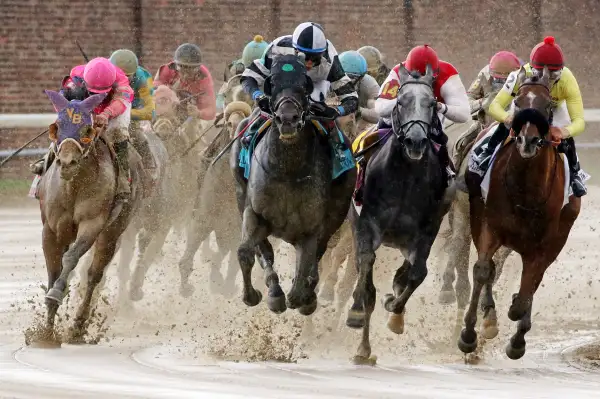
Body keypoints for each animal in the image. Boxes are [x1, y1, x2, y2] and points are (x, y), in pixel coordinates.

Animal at [37, 91, 144, 344]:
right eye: (57, 127)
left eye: (87, 129)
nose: (67, 162)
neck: (73, 186)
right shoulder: (51, 229)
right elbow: (53, 268)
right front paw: (46, 330)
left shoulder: (92, 223)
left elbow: (71, 259)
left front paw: (56, 294)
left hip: (114, 230)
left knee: (95, 274)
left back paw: (78, 325)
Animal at [227, 55, 354, 316]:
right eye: (272, 83)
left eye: (304, 87)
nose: (288, 119)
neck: (288, 170)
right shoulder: (254, 214)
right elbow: (245, 252)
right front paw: (255, 295)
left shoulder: (311, 229)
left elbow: (307, 268)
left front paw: (303, 295)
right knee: (263, 251)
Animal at [346, 65, 454, 366]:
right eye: (401, 102)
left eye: (432, 104)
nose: (416, 140)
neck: (406, 179)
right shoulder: (367, 224)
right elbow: (367, 273)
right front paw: (358, 320)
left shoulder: (427, 229)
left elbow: (418, 273)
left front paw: (394, 309)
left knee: (408, 271)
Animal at [460, 67, 580, 360]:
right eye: (518, 101)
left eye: (548, 106)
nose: (527, 140)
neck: (526, 190)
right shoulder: (489, 225)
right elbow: (483, 270)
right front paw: (469, 335)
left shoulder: (544, 243)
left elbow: (529, 286)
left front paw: (517, 329)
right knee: (492, 269)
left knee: (533, 279)